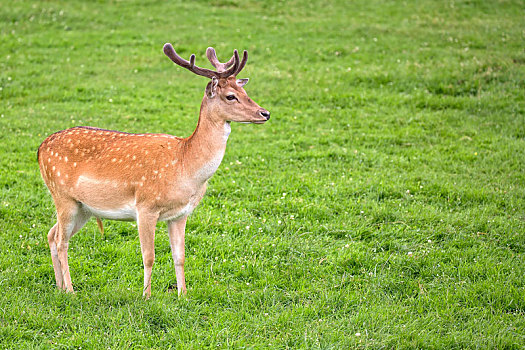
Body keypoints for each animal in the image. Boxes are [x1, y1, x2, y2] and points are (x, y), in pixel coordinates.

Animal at [36, 42, 270, 296]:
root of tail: (40, 148)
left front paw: (183, 295)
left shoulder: (181, 214)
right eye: (230, 96)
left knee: (51, 234)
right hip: (62, 195)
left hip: (84, 207)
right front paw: (146, 296)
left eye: (245, 92)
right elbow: (149, 256)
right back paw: (70, 290)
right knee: (62, 241)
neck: (185, 166)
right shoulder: (146, 206)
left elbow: (180, 256)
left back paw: (59, 286)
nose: (265, 113)